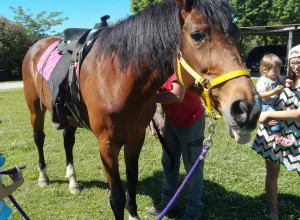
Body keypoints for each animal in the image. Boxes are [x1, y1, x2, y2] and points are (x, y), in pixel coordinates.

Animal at [21, 0, 260, 219]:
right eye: (197, 35)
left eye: (238, 35)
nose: (247, 107)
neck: (119, 77)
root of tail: (36, 46)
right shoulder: (107, 145)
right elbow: (116, 196)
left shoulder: (136, 138)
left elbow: (132, 181)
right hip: (35, 109)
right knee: (39, 137)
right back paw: (43, 177)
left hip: (70, 117)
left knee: (68, 142)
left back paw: (73, 182)